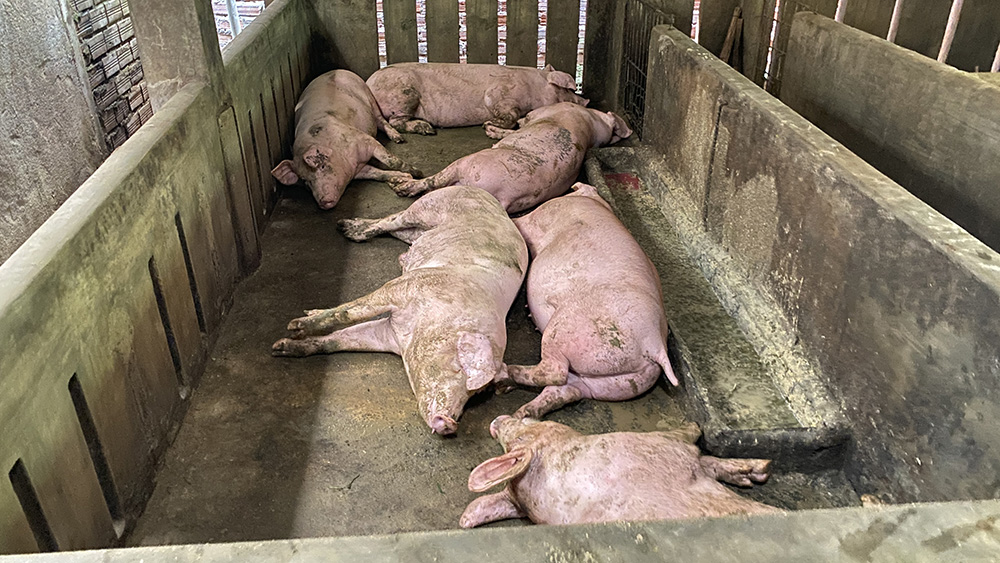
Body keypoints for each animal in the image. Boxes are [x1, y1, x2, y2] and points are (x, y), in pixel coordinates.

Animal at [270, 69, 422, 209]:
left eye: (323, 166)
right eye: (306, 181)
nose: (323, 202)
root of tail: (336, 70)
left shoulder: (364, 139)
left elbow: (391, 160)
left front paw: (417, 172)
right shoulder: (358, 170)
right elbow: (377, 173)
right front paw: (404, 177)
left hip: (370, 98)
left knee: (381, 121)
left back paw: (398, 138)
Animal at [272, 186, 528, 435]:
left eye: (477, 395)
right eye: (459, 368)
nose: (450, 424)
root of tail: (486, 195)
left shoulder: (386, 334)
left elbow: (340, 340)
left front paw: (280, 348)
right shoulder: (402, 288)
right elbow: (346, 313)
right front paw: (295, 326)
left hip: (416, 231)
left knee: (400, 231)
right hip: (427, 206)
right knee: (393, 220)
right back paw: (346, 227)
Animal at [366, 62, 589, 135]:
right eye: (568, 90)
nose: (586, 101)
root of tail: (368, 84)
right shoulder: (498, 93)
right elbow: (509, 115)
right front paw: (487, 123)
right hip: (404, 95)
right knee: (396, 122)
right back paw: (427, 129)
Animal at [390, 103, 632, 213]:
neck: (592, 122)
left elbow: (519, 125)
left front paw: (489, 129)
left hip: (465, 164)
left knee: (431, 181)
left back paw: (399, 186)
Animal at [492, 182, 676, 418]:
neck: (593, 201)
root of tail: (654, 345)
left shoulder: (546, 213)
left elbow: (521, 223)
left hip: (566, 329)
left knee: (555, 372)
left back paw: (503, 376)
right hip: (615, 382)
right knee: (564, 391)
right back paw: (519, 410)